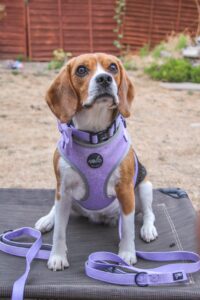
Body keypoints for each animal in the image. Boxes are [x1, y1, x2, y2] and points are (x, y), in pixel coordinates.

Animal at [34, 52, 158, 270]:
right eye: (81, 70)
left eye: (113, 67)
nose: (104, 79)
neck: (94, 135)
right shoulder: (63, 189)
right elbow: (59, 232)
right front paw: (57, 256)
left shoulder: (126, 190)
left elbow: (127, 229)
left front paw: (126, 255)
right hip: (65, 197)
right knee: (56, 211)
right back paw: (47, 220)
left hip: (144, 186)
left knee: (149, 213)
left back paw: (148, 229)